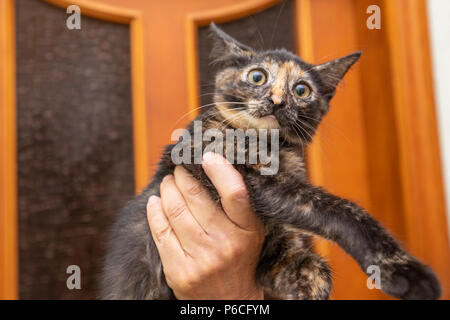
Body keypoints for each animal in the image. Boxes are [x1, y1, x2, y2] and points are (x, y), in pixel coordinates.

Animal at [100, 23, 442, 300]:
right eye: (257, 76)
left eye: (302, 90)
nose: (277, 101)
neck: (277, 147)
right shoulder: (224, 163)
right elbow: (339, 210)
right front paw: (403, 271)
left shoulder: (275, 248)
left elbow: (315, 269)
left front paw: (309, 284)